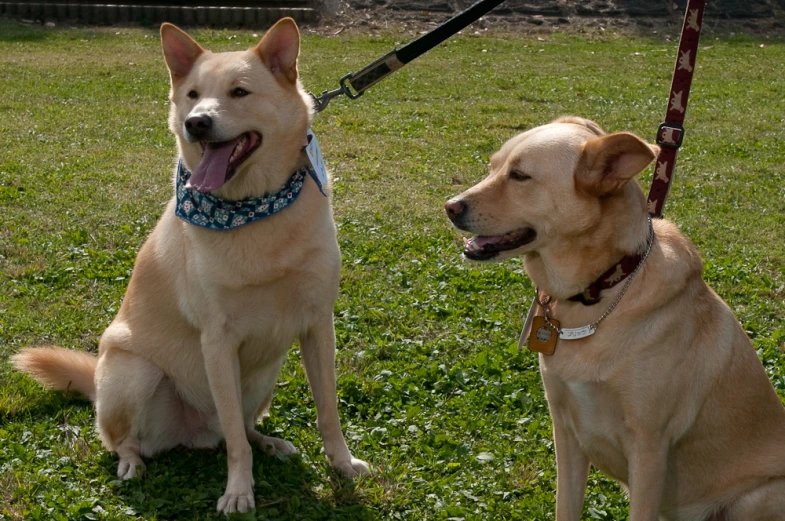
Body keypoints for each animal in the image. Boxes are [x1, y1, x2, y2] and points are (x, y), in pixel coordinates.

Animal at [12, 18, 368, 512]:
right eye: (192, 94)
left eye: (239, 92)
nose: (196, 122)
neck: (256, 211)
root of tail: (195, 434)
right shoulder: (217, 341)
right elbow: (235, 443)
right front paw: (239, 491)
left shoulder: (318, 325)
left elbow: (327, 411)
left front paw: (341, 463)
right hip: (134, 374)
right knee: (132, 439)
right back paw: (132, 463)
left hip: (265, 375)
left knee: (241, 426)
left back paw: (270, 443)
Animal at [448, 117, 784, 520]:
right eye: (493, 166)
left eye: (520, 176)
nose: (449, 207)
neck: (599, 293)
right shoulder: (565, 431)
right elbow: (566, 507)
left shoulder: (649, 448)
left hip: (759, 496)